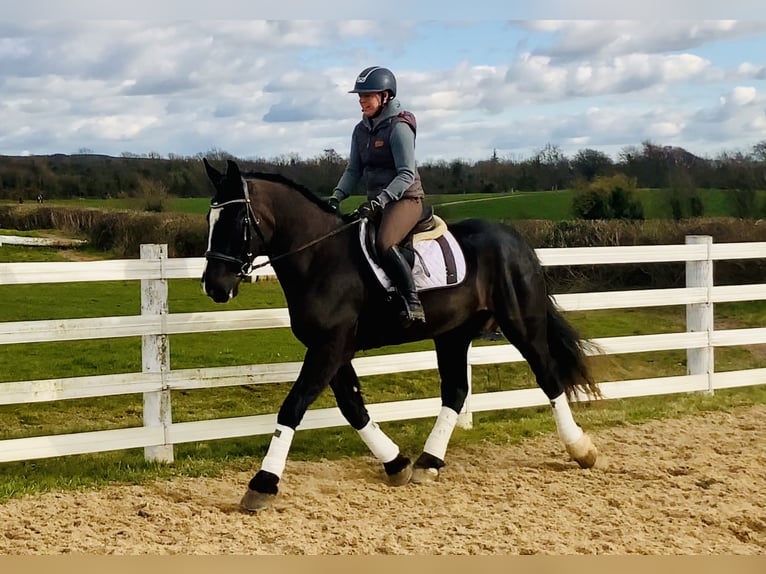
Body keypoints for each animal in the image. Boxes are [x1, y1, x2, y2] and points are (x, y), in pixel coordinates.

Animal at [201, 160, 604, 516]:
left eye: (236, 220)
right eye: (209, 220)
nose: (214, 286)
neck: (319, 258)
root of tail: (516, 240)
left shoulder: (329, 347)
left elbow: (293, 407)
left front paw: (262, 485)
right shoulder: (332, 349)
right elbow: (353, 408)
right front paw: (396, 463)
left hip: (521, 323)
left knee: (548, 377)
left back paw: (580, 449)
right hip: (453, 335)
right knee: (456, 391)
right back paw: (429, 461)